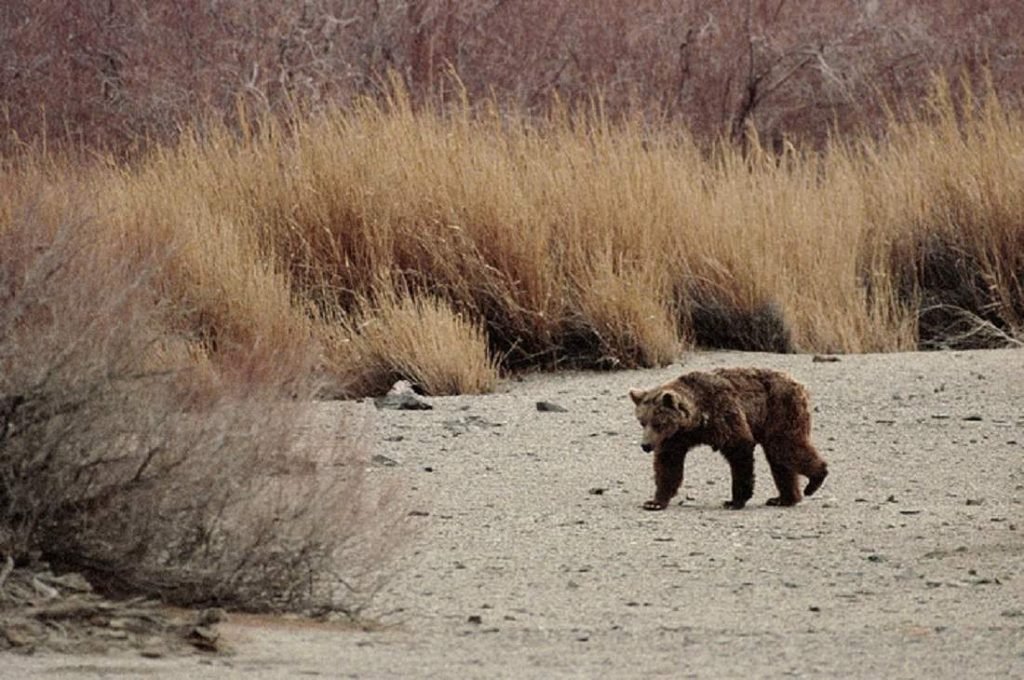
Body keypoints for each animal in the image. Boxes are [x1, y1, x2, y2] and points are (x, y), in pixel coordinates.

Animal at [626, 372, 827, 510]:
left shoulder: (723, 414)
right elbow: (668, 465)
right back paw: (784, 498)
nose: (646, 445)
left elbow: (739, 450)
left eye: (658, 423)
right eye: (642, 421)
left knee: (785, 446)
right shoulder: (676, 438)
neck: (696, 421)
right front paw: (655, 502)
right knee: (778, 459)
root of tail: (798, 384)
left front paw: (734, 500)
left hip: (780, 409)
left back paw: (815, 480)